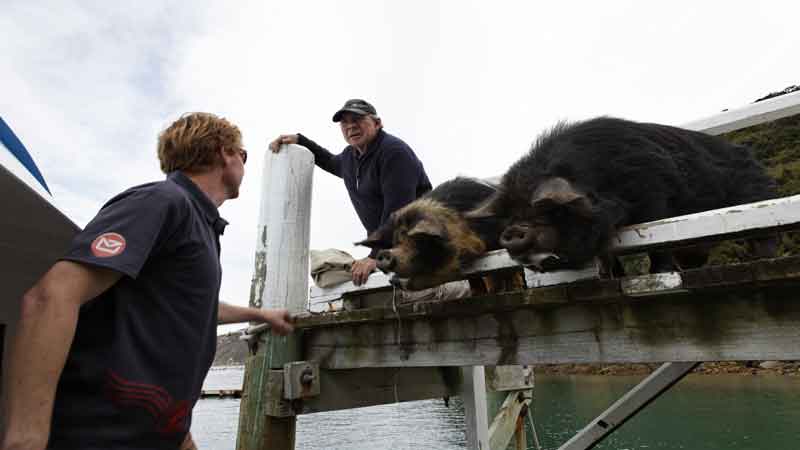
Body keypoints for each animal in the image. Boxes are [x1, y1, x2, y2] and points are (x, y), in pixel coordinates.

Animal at [468, 118, 776, 272]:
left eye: (547, 210)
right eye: (509, 215)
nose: (512, 232)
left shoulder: (655, 193)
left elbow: (657, 242)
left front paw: (659, 274)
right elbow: (609, 255)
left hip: (756, 196)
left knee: (764, 237)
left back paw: (763, 260)